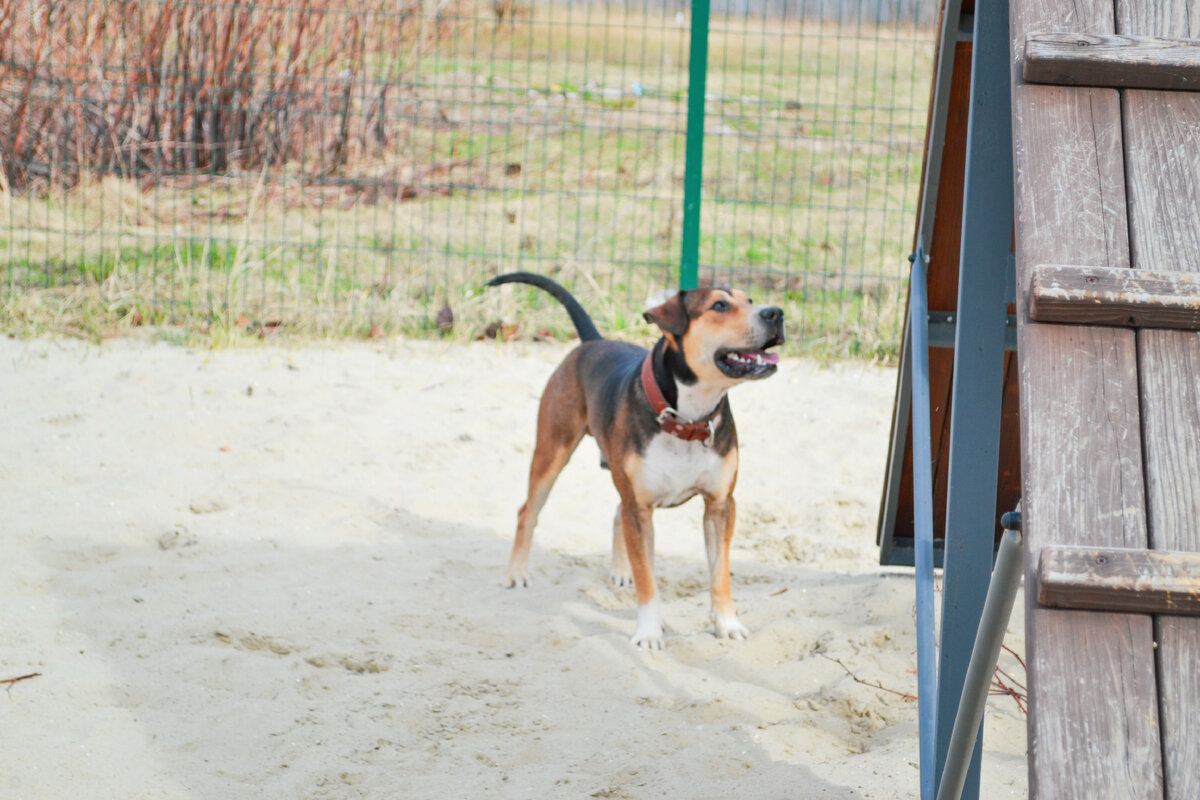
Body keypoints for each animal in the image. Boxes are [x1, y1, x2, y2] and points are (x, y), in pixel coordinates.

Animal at [489, 272, 787, 647]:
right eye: (719, 305)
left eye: (749, 300)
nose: (776, 313)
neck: (686, 419)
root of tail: (594, 342)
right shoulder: (640, 509)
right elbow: (648, 579)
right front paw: (648, 632)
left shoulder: (720, 506)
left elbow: (719, 574)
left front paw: (726, 624)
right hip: (552, 451)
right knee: (528, 511)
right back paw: (517, 572)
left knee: (616, 512)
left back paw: (620, 571)